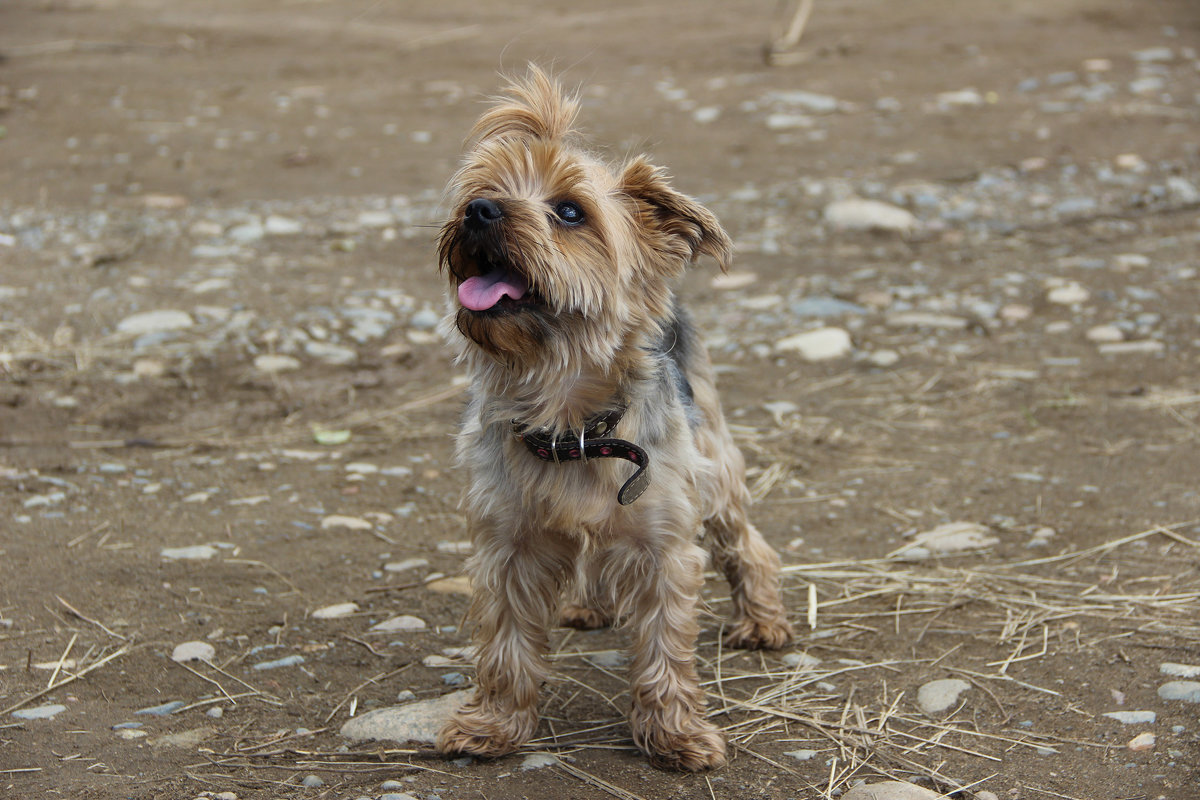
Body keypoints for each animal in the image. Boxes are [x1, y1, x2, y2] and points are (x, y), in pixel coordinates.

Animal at [436, 67, 792, 767]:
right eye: (483, 190)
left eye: (570, 212)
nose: (479, 211)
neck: (570, 422)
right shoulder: (506, 545)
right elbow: (505, 645)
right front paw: (494, 725)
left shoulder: (664, 545)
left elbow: (663, 647)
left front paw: (675, 734)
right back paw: (588, 606)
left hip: (714, 462)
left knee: (746, 541)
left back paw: (763, 619)